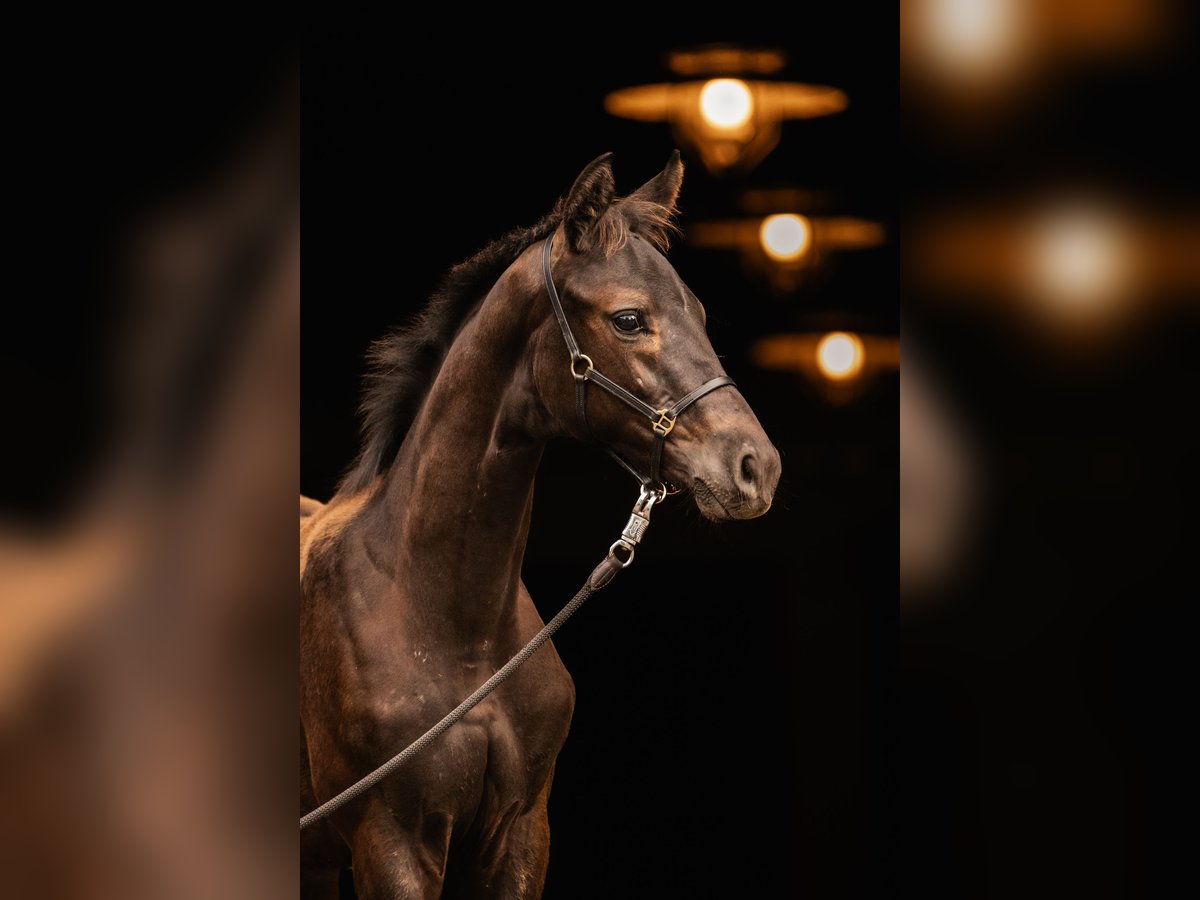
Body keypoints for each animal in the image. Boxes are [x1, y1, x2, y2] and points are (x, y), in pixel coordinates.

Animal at [302, 151, 777, 897]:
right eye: (629, 318)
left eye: (699, 312)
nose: (757, 467)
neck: (453, 627)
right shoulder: (391, 843)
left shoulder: (521, 834)